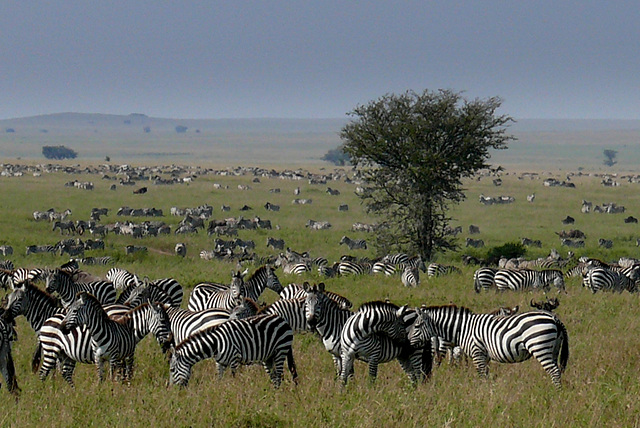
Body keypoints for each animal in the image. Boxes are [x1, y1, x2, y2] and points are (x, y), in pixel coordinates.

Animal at [170, 312, 300, 390]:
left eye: (171, 370)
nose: (173, 390)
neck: (216, 343)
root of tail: (282, 319)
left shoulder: (234, 359)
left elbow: (233, 377)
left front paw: (233, 390)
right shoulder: (220, 362)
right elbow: (219, 378)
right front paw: (219, 391)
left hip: (281, 350)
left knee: (279, 375)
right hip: (268, 357)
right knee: (274, 376)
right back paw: (273, 394)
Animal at [410, 304, 568, 388]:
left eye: (416, 326)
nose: (409, 342)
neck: (464, 328)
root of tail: (554, 318)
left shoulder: (477, 352)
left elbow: (481, 375)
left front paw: (482, 393)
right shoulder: (484, 356)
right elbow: (486, 374)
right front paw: (487, 391)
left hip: (540, 346)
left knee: (554, 371)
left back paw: (556, 393)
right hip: (553, 349)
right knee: (557, 370)